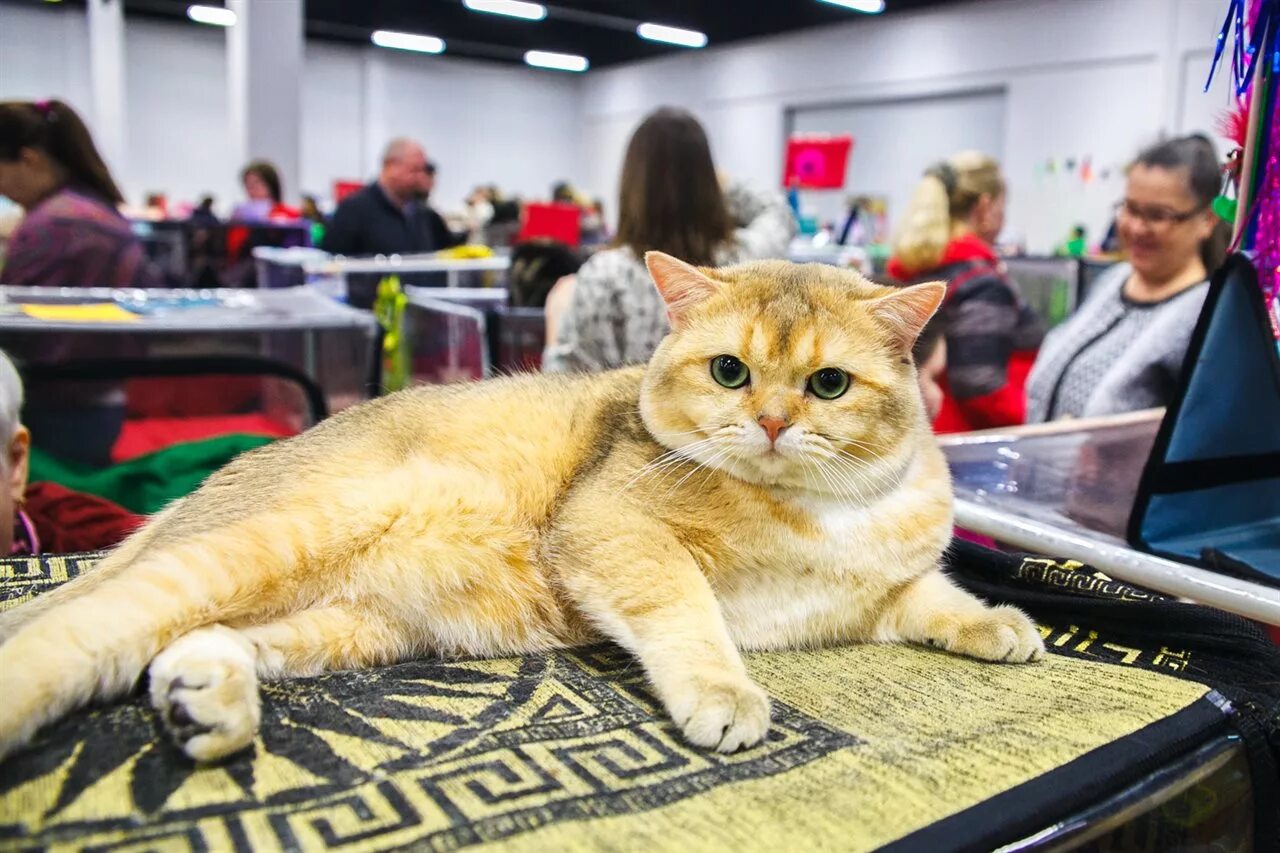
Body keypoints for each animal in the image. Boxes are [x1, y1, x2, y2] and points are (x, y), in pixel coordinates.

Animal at [0, 249, 1039, 758]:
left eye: (828, 384)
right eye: (730, 371)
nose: (776, 422)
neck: (816, 510)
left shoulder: (879, 589)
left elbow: (934, 596)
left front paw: (1002, 624)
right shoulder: (614, 530)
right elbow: (687, 612)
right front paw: (724, 692)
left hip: (351, 623)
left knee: (188, 644)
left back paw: (203, 700)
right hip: (261, 545)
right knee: (85, 627)